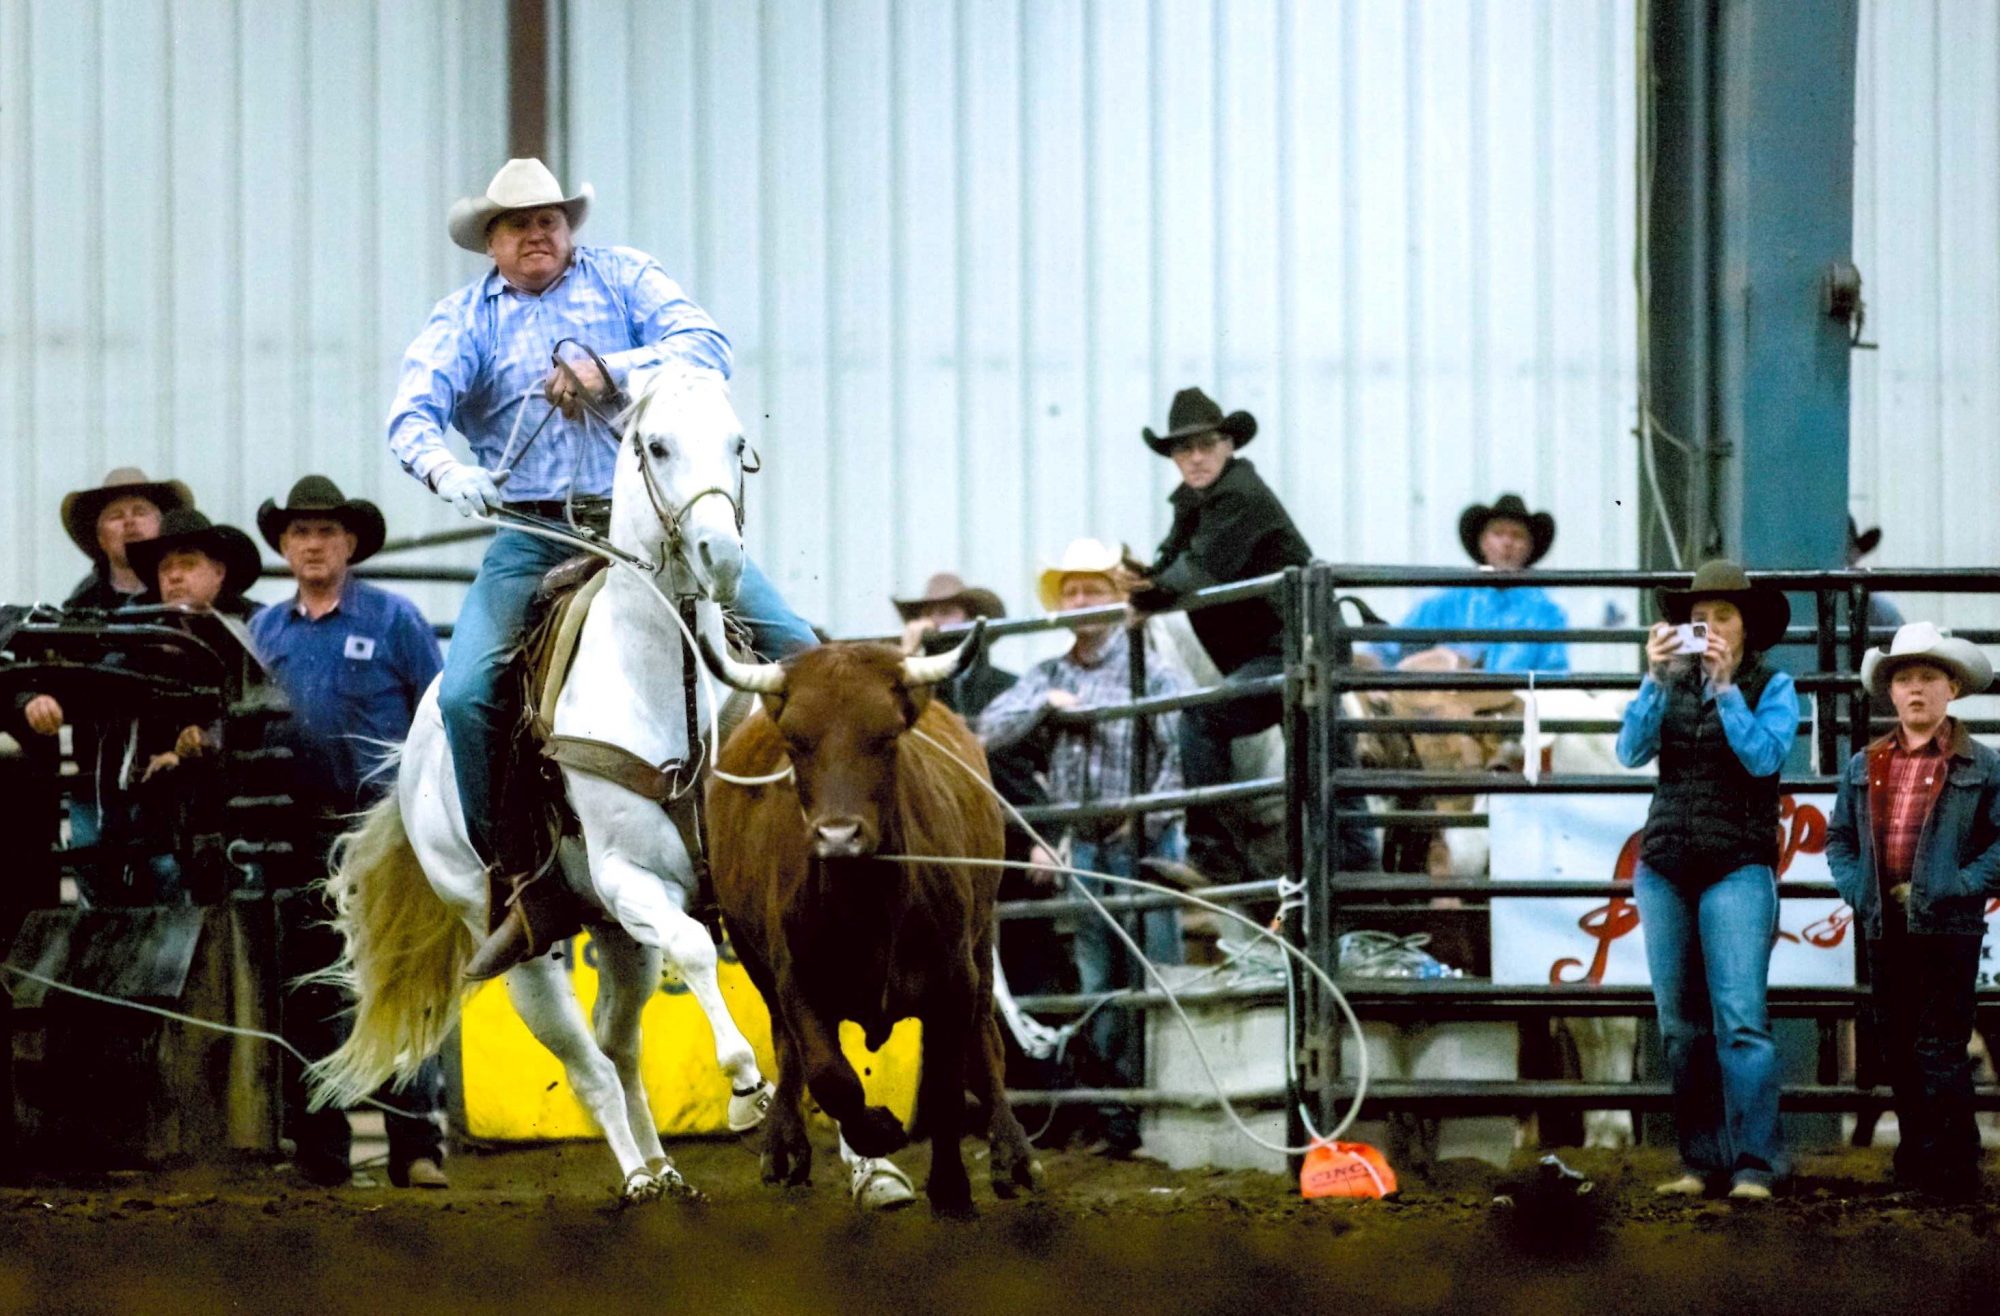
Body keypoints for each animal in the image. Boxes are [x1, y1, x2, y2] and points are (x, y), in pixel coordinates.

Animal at [308, 362, 768, 1200]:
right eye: (657, 444)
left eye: (737, 441)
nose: (719, 553)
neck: (670, 683)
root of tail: (415, 760)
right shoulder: (632, 877)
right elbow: (695, 949)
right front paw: (746, 1088)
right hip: (524, 941)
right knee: (587, 1063)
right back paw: (638, 1177)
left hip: (615, 933)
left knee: (620, 1047)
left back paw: (663, 1169)